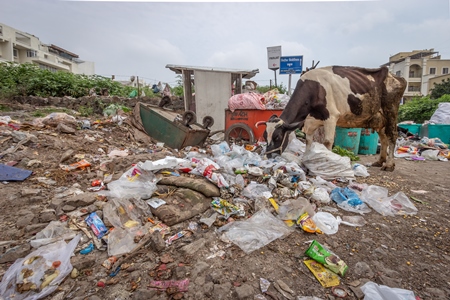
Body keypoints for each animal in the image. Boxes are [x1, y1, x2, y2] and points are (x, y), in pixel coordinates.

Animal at [256, 65, 408, 171]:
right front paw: (306, 160)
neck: (313, 89)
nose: (268, 156)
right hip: (379, 117)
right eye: (264, 135)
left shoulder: (331, 117)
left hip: (391, 109)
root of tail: (396, 77)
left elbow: (328, 142)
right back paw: (380, 161)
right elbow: (309, 142)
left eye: (277, 137)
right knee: (383, 137)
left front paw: (328, 164)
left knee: (392, 135)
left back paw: (389, 164)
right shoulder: (310, 122)